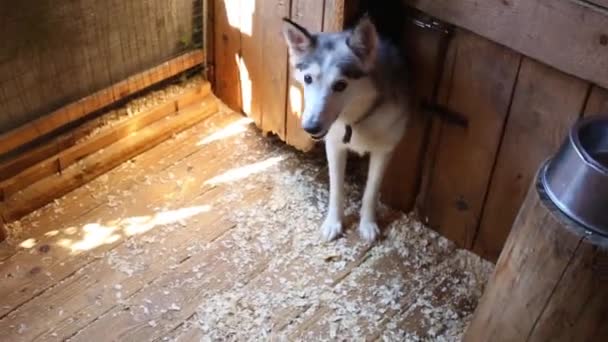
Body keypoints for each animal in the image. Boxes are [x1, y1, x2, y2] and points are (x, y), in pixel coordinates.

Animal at [284, 15, 408, 240]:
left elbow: (371, 191)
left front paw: (367, 223)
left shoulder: (384, 150)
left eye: (340, 85)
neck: (354, 121)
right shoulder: (334, 146)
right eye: (308, 78)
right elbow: (336, 188)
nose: (310, 127)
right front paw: (333, 222)